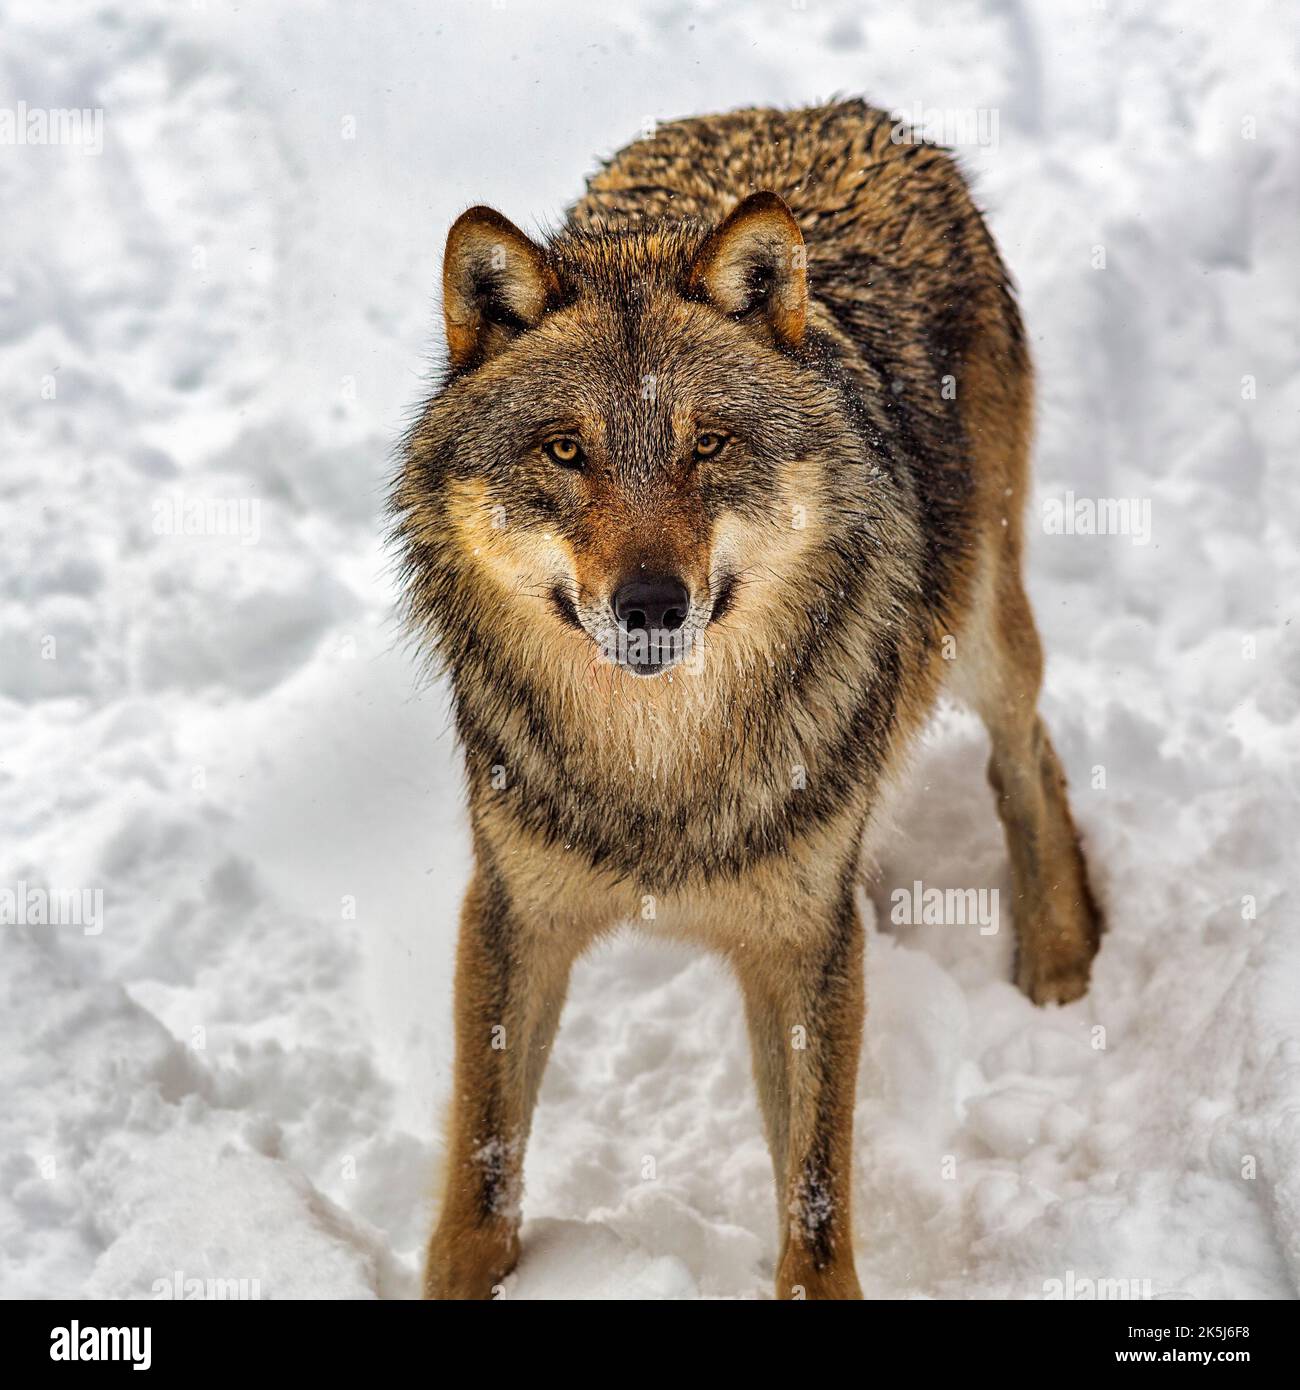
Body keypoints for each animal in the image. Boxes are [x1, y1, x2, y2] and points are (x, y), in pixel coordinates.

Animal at [392, 100, 1101, 1301]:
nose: (649, 605)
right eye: (566, 450)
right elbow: (479, 1180)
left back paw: (1057, 957)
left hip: (975, 625)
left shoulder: (808, 942)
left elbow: (814, 1210)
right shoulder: (511, 913)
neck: (661, 770)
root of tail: (835, 110)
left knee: (1029, 753)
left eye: (708, 444)